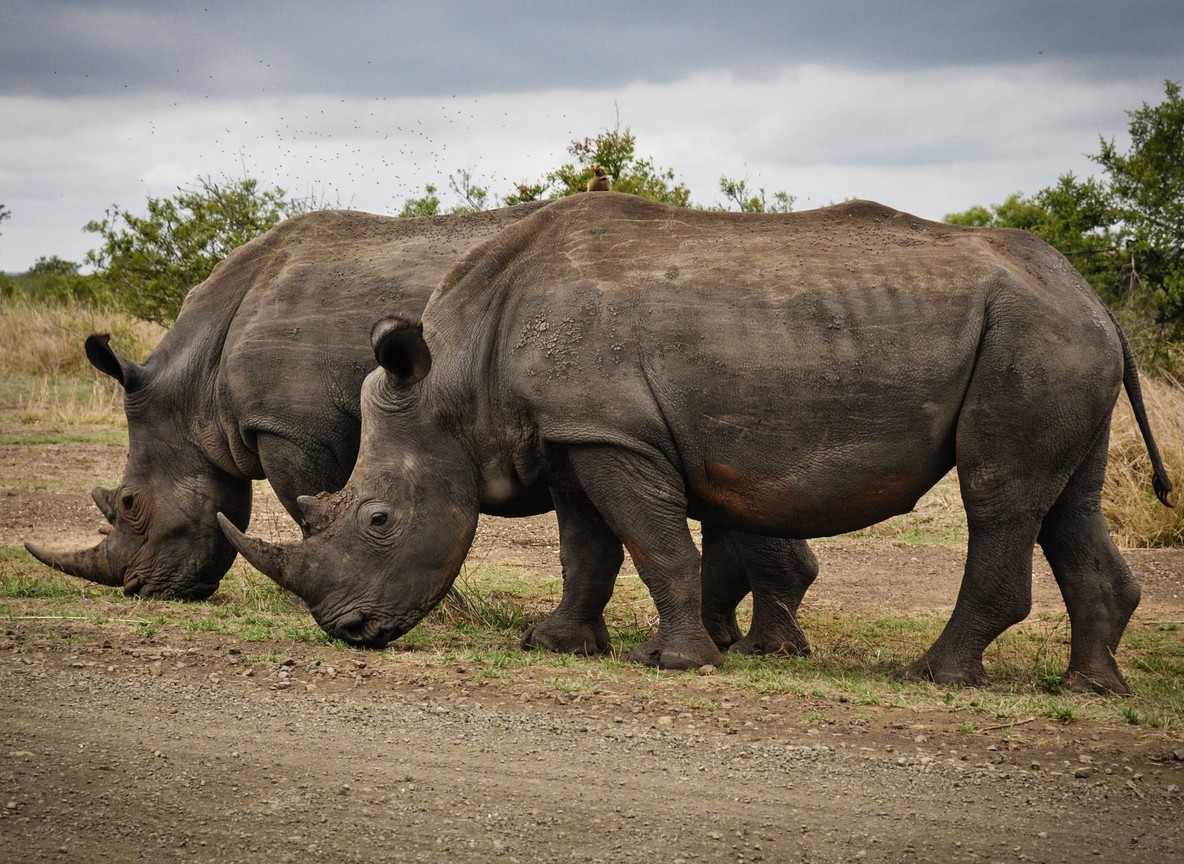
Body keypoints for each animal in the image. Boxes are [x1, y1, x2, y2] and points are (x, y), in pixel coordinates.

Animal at [24, 203, 817, 657]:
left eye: (130, 505)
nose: (138, 590)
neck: (195, 385)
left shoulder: (291, 428)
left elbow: (313, 505)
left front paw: (445, 612)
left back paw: (751, 644)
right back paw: (737, 639)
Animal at [221, 192, 1172, 692]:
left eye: (378, 520)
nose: (348, 629)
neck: (456, 380)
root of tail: (1097, 302)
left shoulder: (614, 436)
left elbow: (653, 543)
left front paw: (676, 662)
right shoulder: (576, 435)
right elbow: (587, 549)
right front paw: (555, 645)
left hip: (1032, 341)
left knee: (998, 495)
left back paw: (934, 675)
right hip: (1052, 340)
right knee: (1064, 500)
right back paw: (1090, 686)